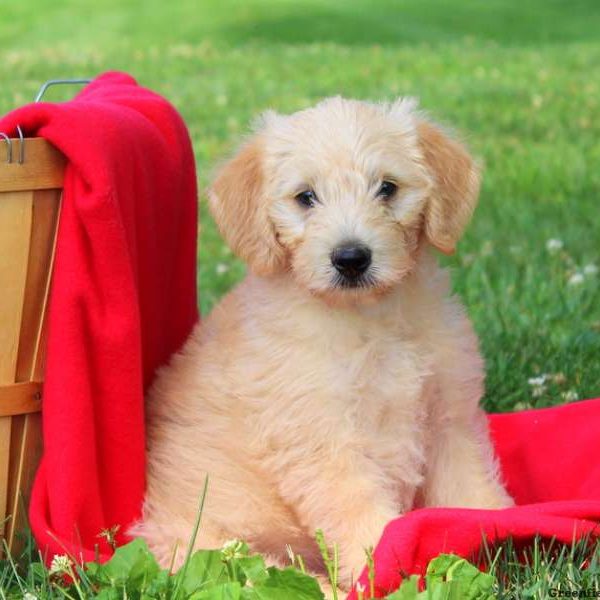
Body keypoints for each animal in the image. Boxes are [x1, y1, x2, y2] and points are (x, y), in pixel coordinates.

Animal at [134, 97, 512, 584]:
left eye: (387, 188)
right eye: (305, 197)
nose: (351, 258)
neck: (367, 319)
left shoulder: (450, 420)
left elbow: (470, 494)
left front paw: (501, 533)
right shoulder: (324, 443)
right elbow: (366, 521)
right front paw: (390, 572)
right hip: (215, 553)